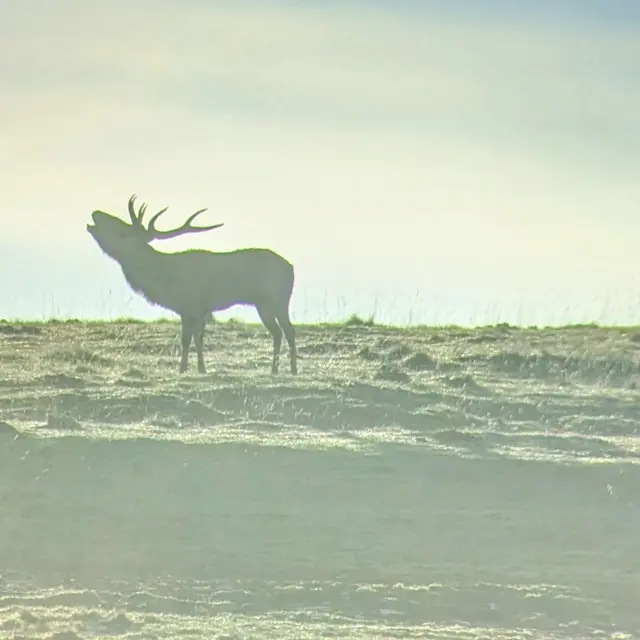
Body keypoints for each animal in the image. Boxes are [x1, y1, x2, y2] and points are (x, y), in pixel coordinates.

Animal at [87, 194, 297, 375]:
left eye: (122, 232)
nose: (95, 213)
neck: (162, 278)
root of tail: (291, 269)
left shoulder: (190, 305)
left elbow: (187, 340)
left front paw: (183, 369)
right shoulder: (197, 309)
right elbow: (197, 339)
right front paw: (200, 369)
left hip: (278, 299)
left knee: (289, 330)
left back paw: (293, 370)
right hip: (263, 304)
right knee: (278, 332)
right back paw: (275, 369)